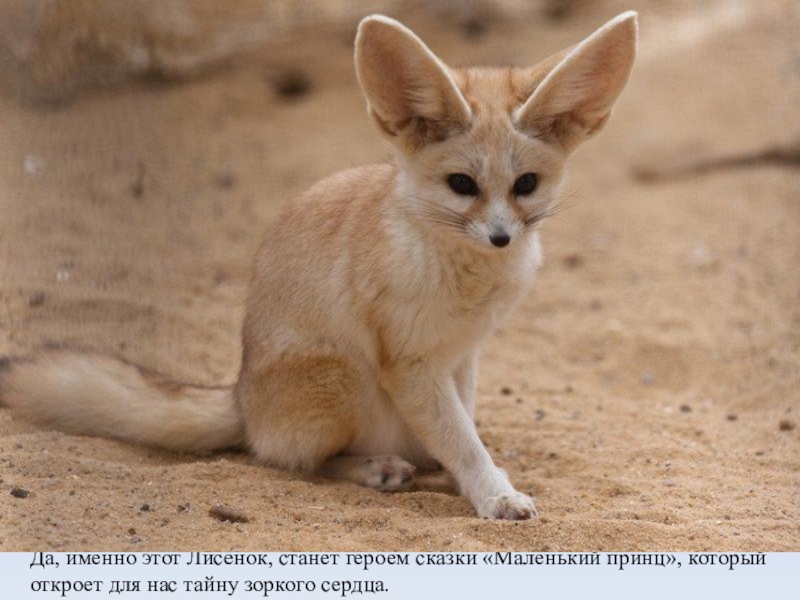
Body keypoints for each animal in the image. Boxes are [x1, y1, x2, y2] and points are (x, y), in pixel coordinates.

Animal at [0, 14, 636, 520]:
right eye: (462, 185)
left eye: (525, 184)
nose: (502, 238)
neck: (466, 274)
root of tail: (240, 396)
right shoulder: (410, 365)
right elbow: (462, 440)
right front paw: (494, 493)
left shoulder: (465, 354)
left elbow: (463, 427)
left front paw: (472, 476)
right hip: (346, 377)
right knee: (289, 461)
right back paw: (376, 467)